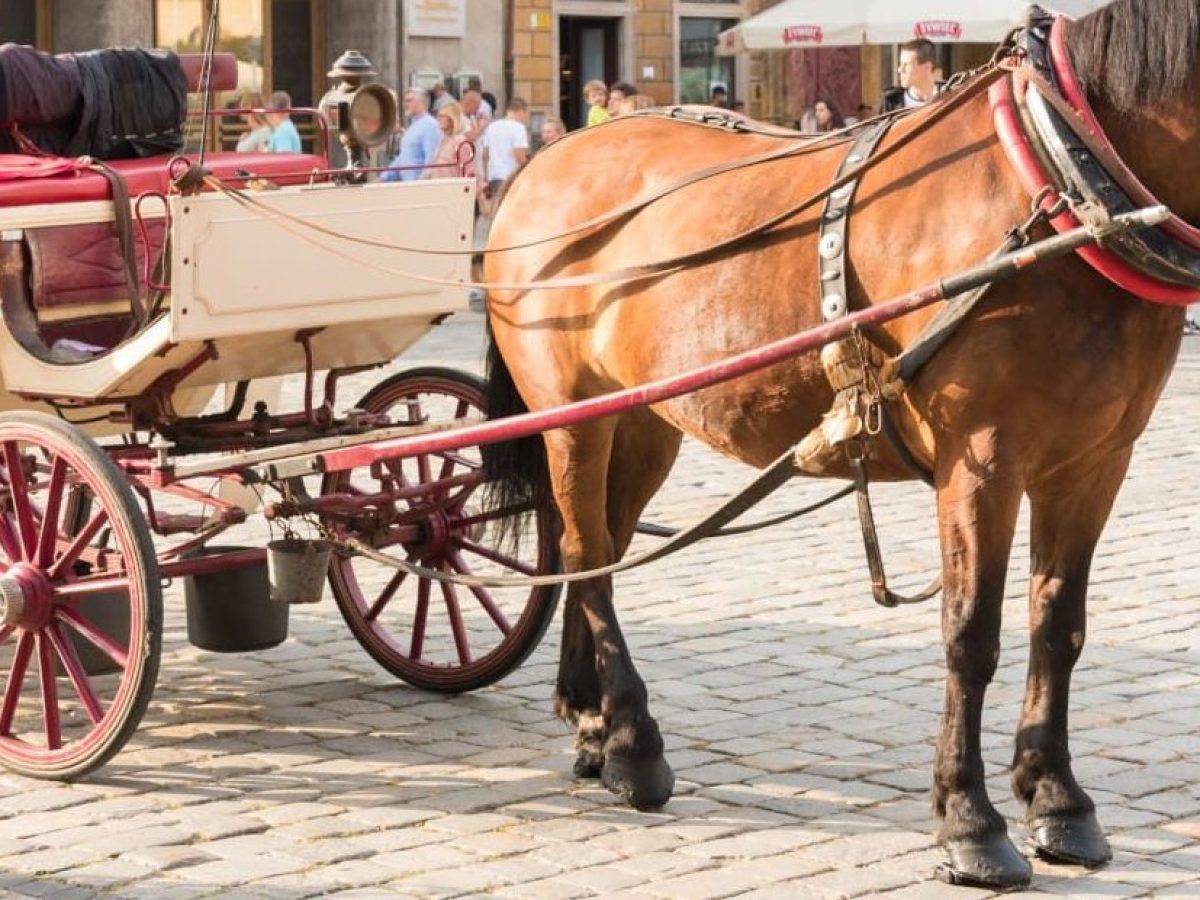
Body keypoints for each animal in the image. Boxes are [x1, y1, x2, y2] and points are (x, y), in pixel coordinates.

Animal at [480, 0, 1195, 888]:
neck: (1063, 189)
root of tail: (548, 156)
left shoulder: (1098, 460)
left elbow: (1059, 626)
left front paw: (1058, 799)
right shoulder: (983, 460)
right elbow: (971, 635)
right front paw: (969, 819)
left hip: (643, 420)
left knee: (600, 552)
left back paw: (594, 725)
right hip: (571, 414)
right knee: (584, 549)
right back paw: (634, 744)